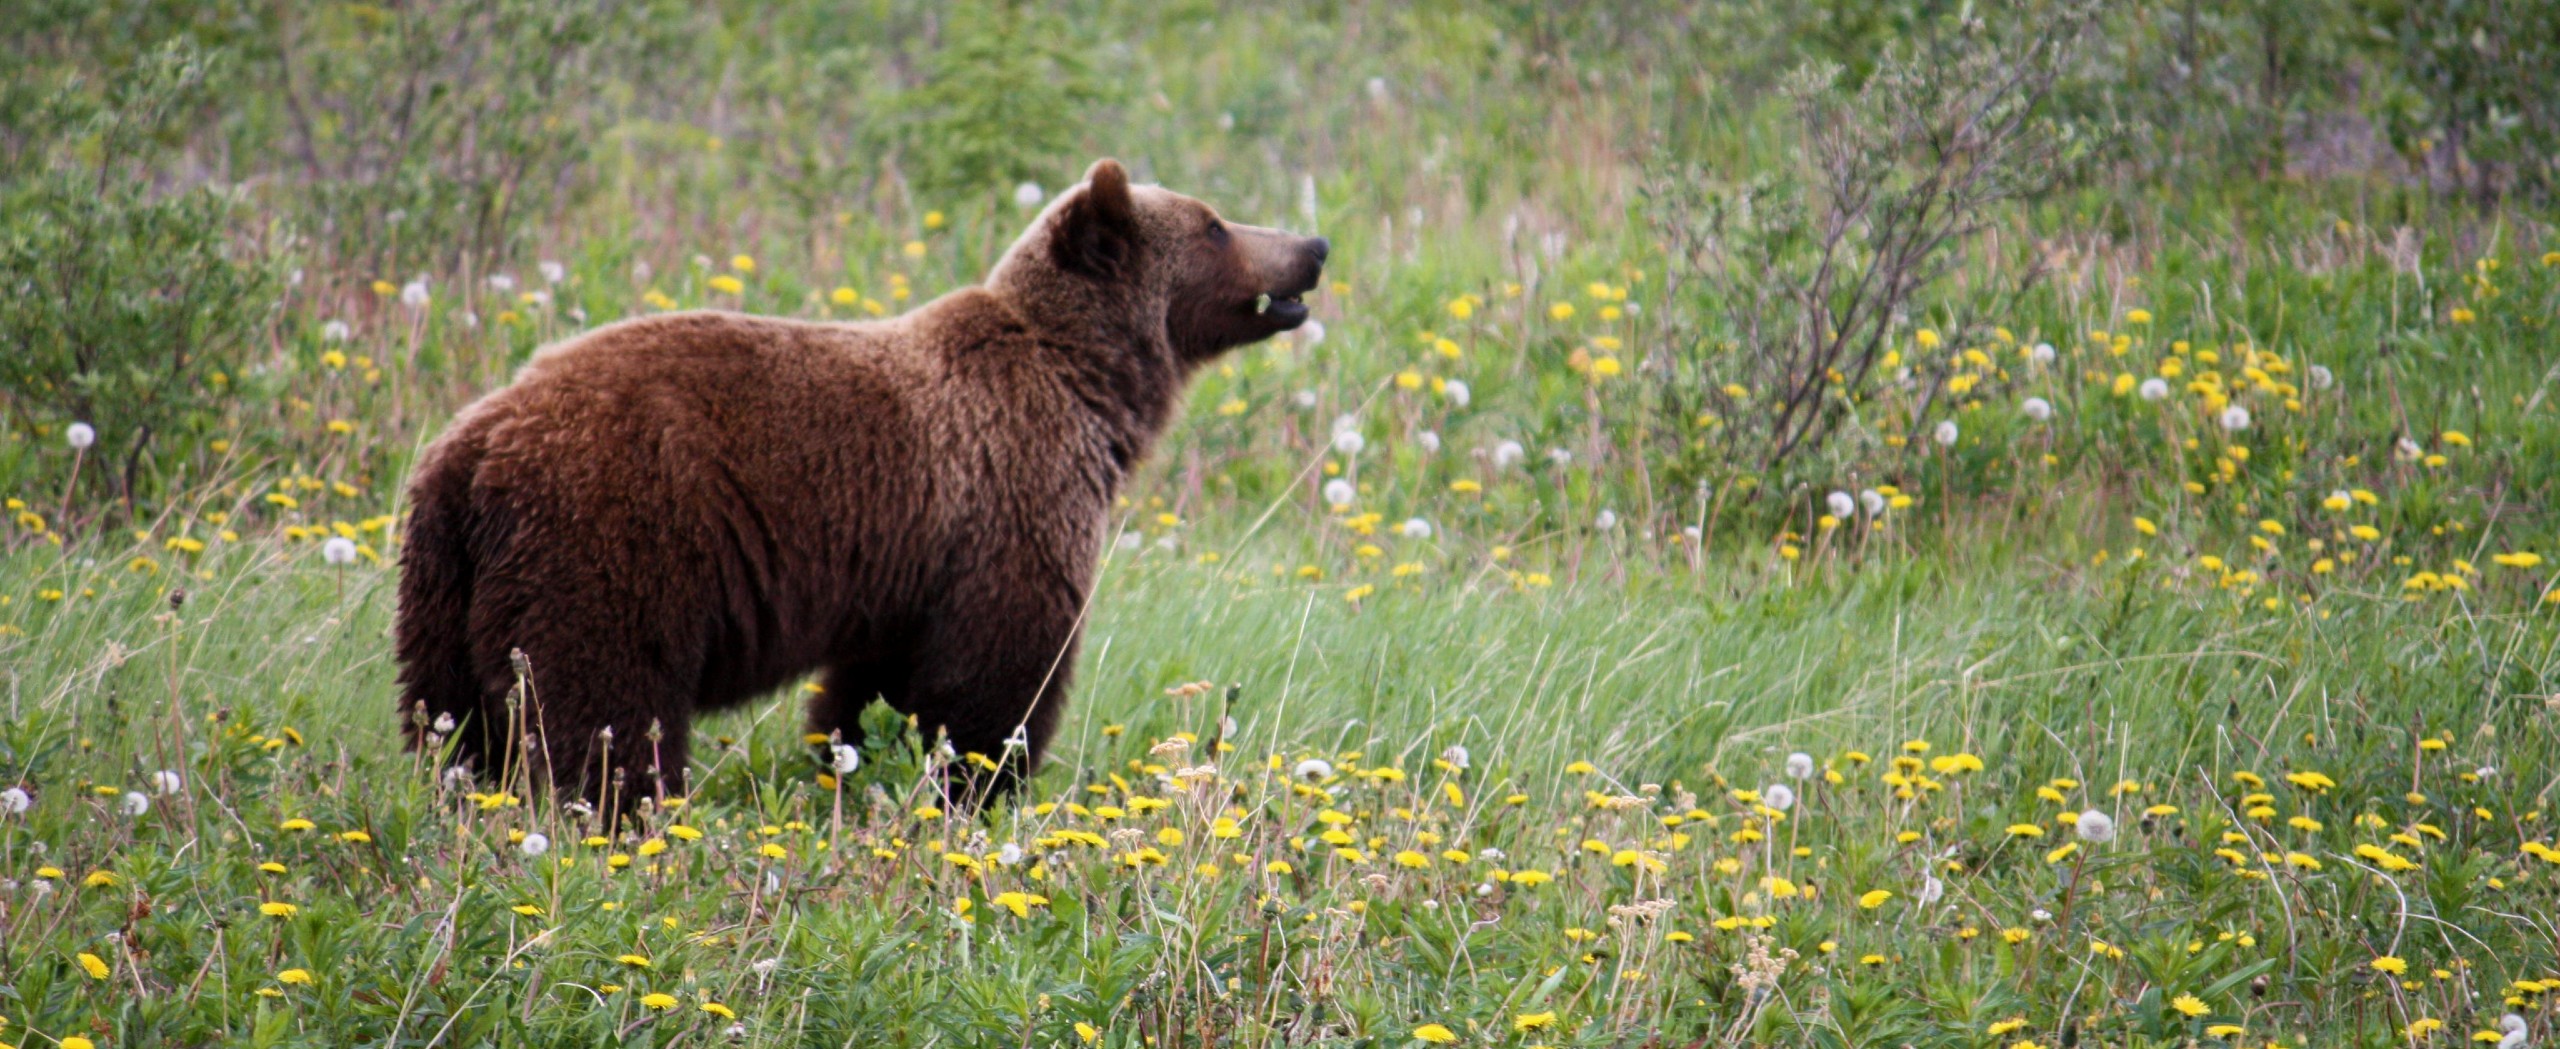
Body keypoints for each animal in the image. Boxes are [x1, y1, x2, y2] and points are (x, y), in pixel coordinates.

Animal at [394, 159, 1341, 808]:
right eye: (1214, 224)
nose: (1313, 245)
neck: (1090, 389)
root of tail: (474, 447)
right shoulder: (1009, 497)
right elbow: (995, 674)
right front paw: (982, 783)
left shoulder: (909, 561)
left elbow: (874, 685)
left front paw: (851, 763)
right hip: (610, 540)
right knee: (603, 703)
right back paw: (622, 810)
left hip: (444, 583)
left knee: (449, 720)